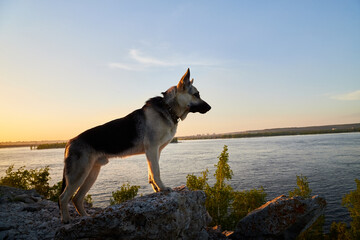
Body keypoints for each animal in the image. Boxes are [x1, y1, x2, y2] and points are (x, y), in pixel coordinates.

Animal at [58, 68, 211, 223]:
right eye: (196, 94)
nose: (210, 107)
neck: (168, 108)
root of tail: (69, 142)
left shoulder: (155, 152)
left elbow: (151, 173)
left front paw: (156, 189)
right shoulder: (152, 149)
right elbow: (156, 172)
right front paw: (162, 189)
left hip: (91, 173)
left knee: (77, 198)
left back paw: (86, 218)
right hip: (79, 174)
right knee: (63, 197)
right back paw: (66, 220)